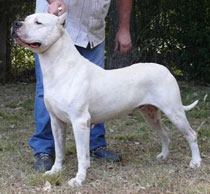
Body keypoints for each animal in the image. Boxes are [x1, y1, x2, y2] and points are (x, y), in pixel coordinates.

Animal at [11, 12, 202, 186]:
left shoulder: (80, 122)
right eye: (26, 19)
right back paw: (163, 155)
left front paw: (78, 179)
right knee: (165, 133)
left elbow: (81, 155)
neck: (59, 67)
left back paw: (196, 162)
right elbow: (59, 150)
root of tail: (166, 70)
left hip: (174, 111)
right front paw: (55, 171)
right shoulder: (56, 121)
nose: (15, 23)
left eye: (38, 22)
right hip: (150, 114)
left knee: (191, 135)